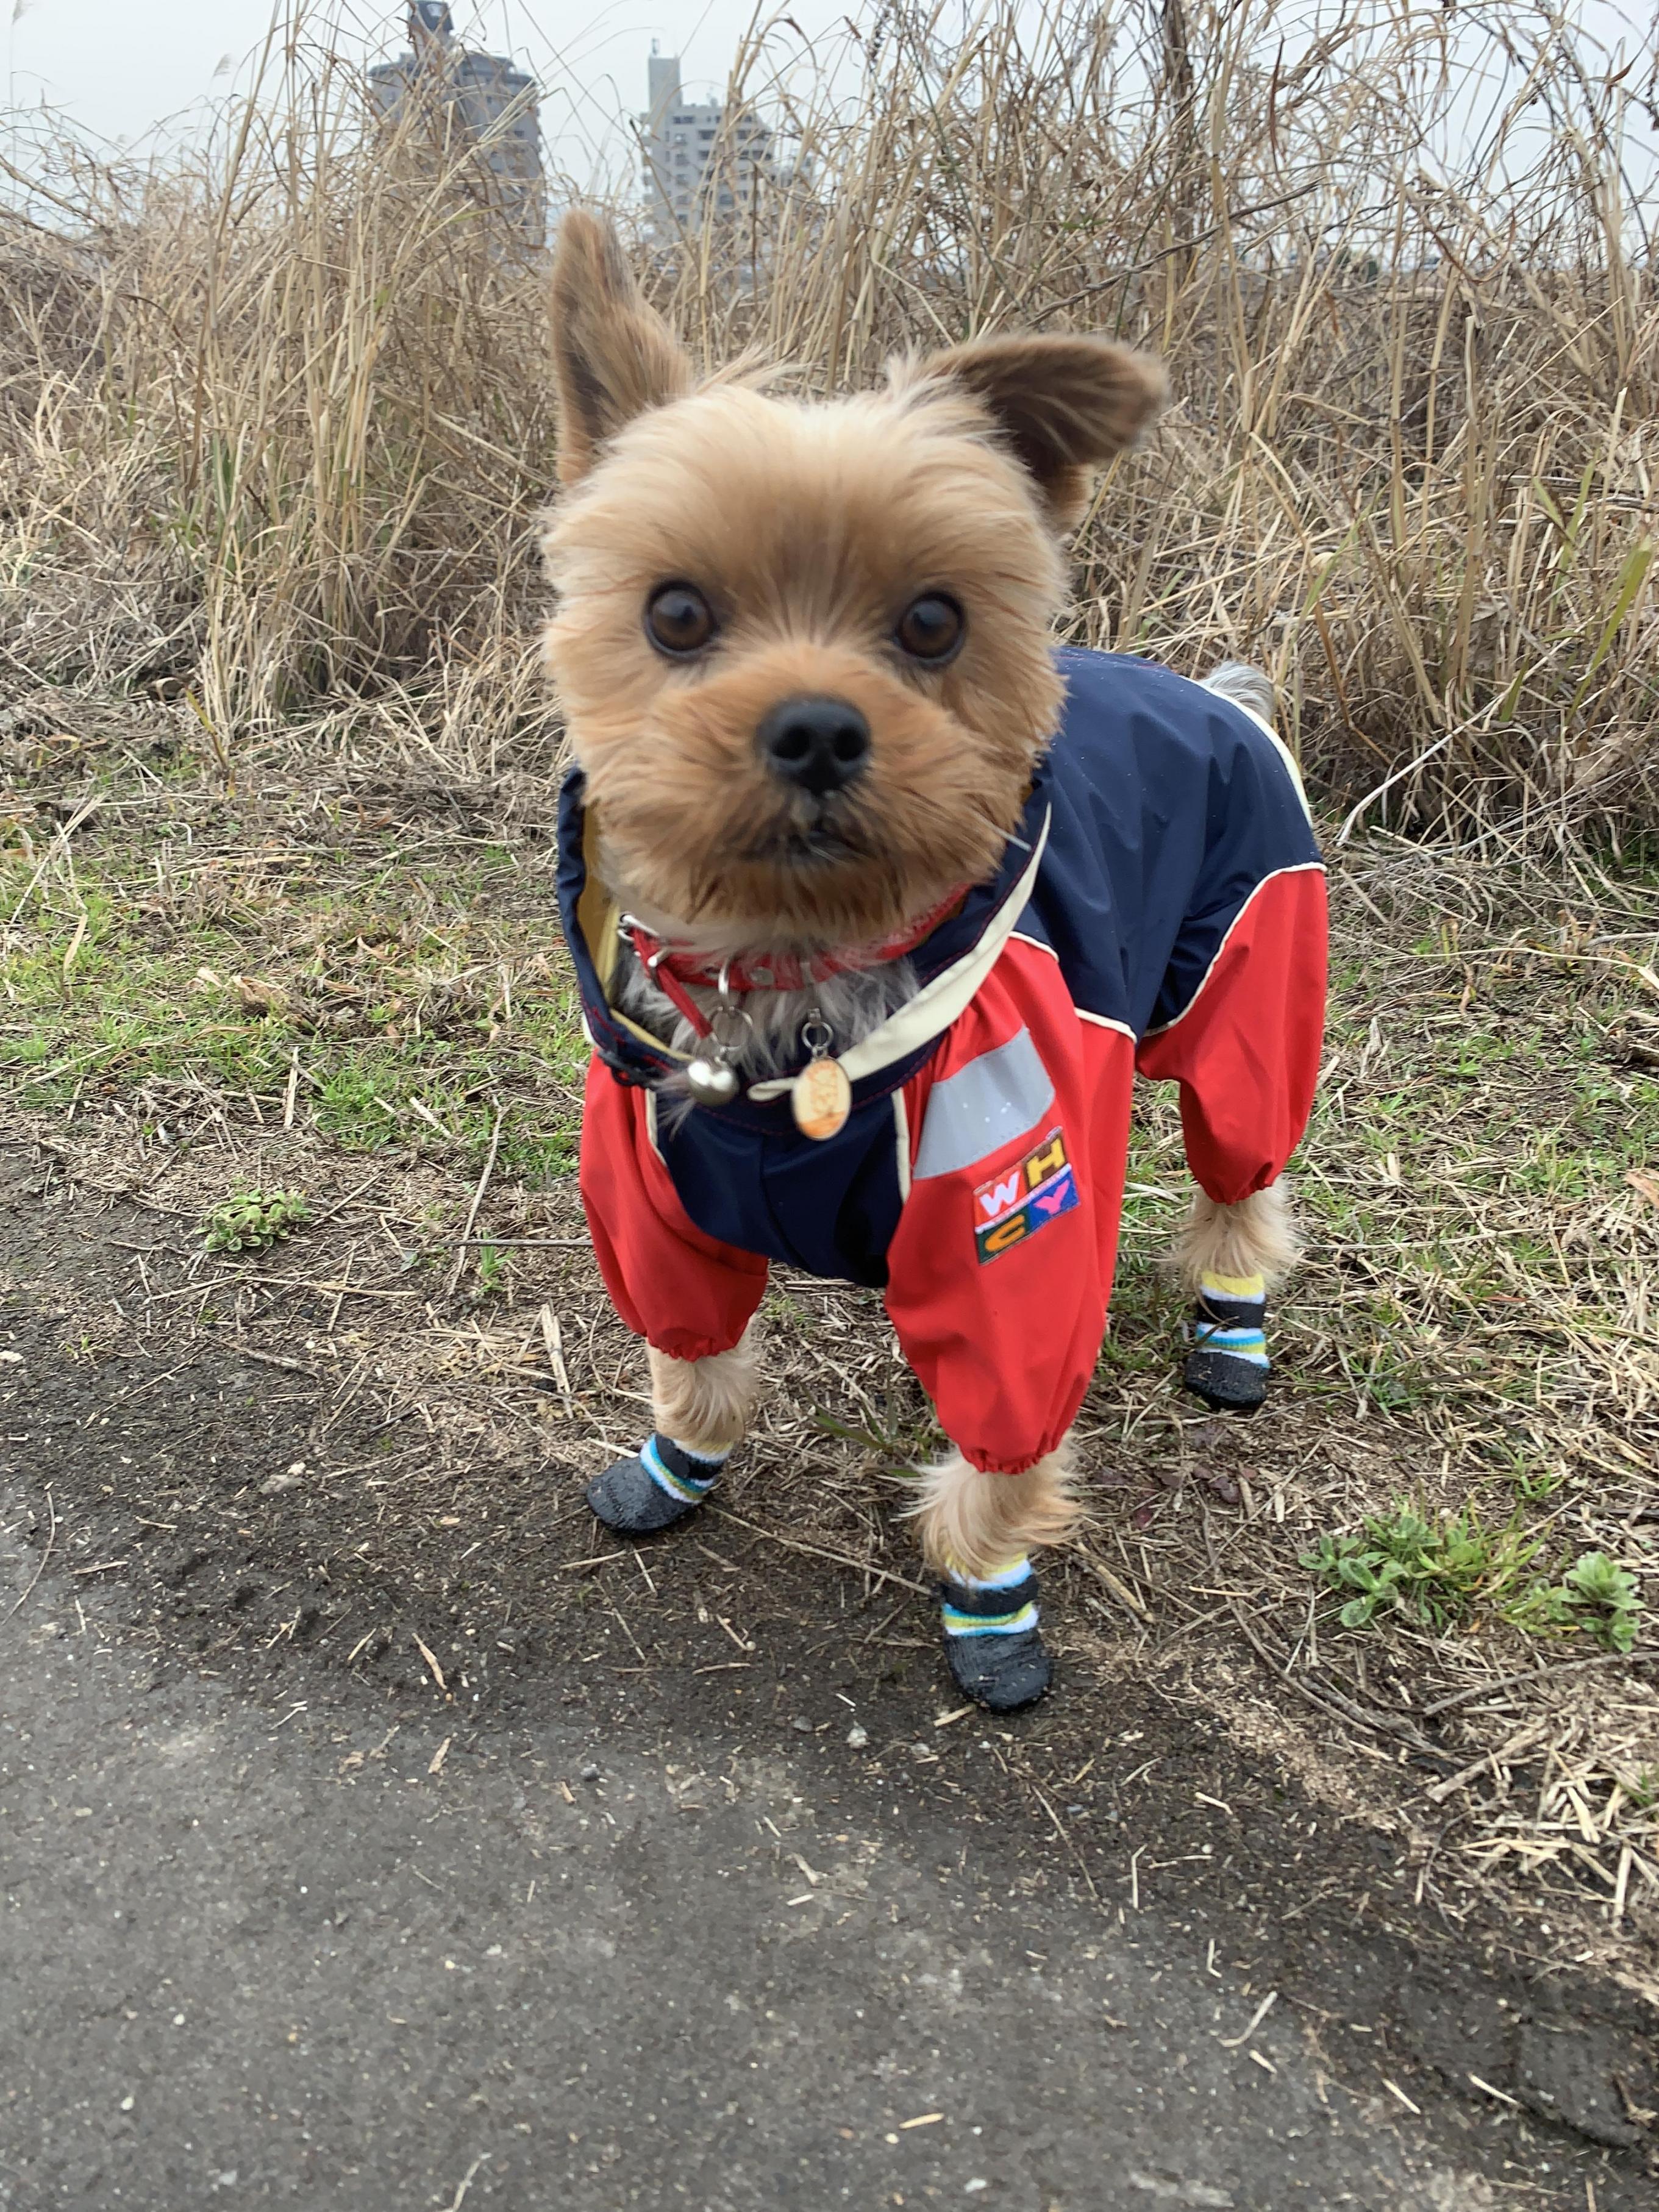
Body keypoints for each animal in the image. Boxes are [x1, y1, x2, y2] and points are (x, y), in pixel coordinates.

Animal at [553, 211, 1336, 1707]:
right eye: (675, 613)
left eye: (931, 622)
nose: (813, 728)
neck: (798, 982)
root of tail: (1219, 693)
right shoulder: (654, 1200)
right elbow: (694, 1350)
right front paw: (677, 1466)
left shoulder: (1012, 1213)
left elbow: (1005, 1438)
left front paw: (989, 1598)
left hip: (1253, 980)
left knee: (1240, 1172)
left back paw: (1231, 1323)